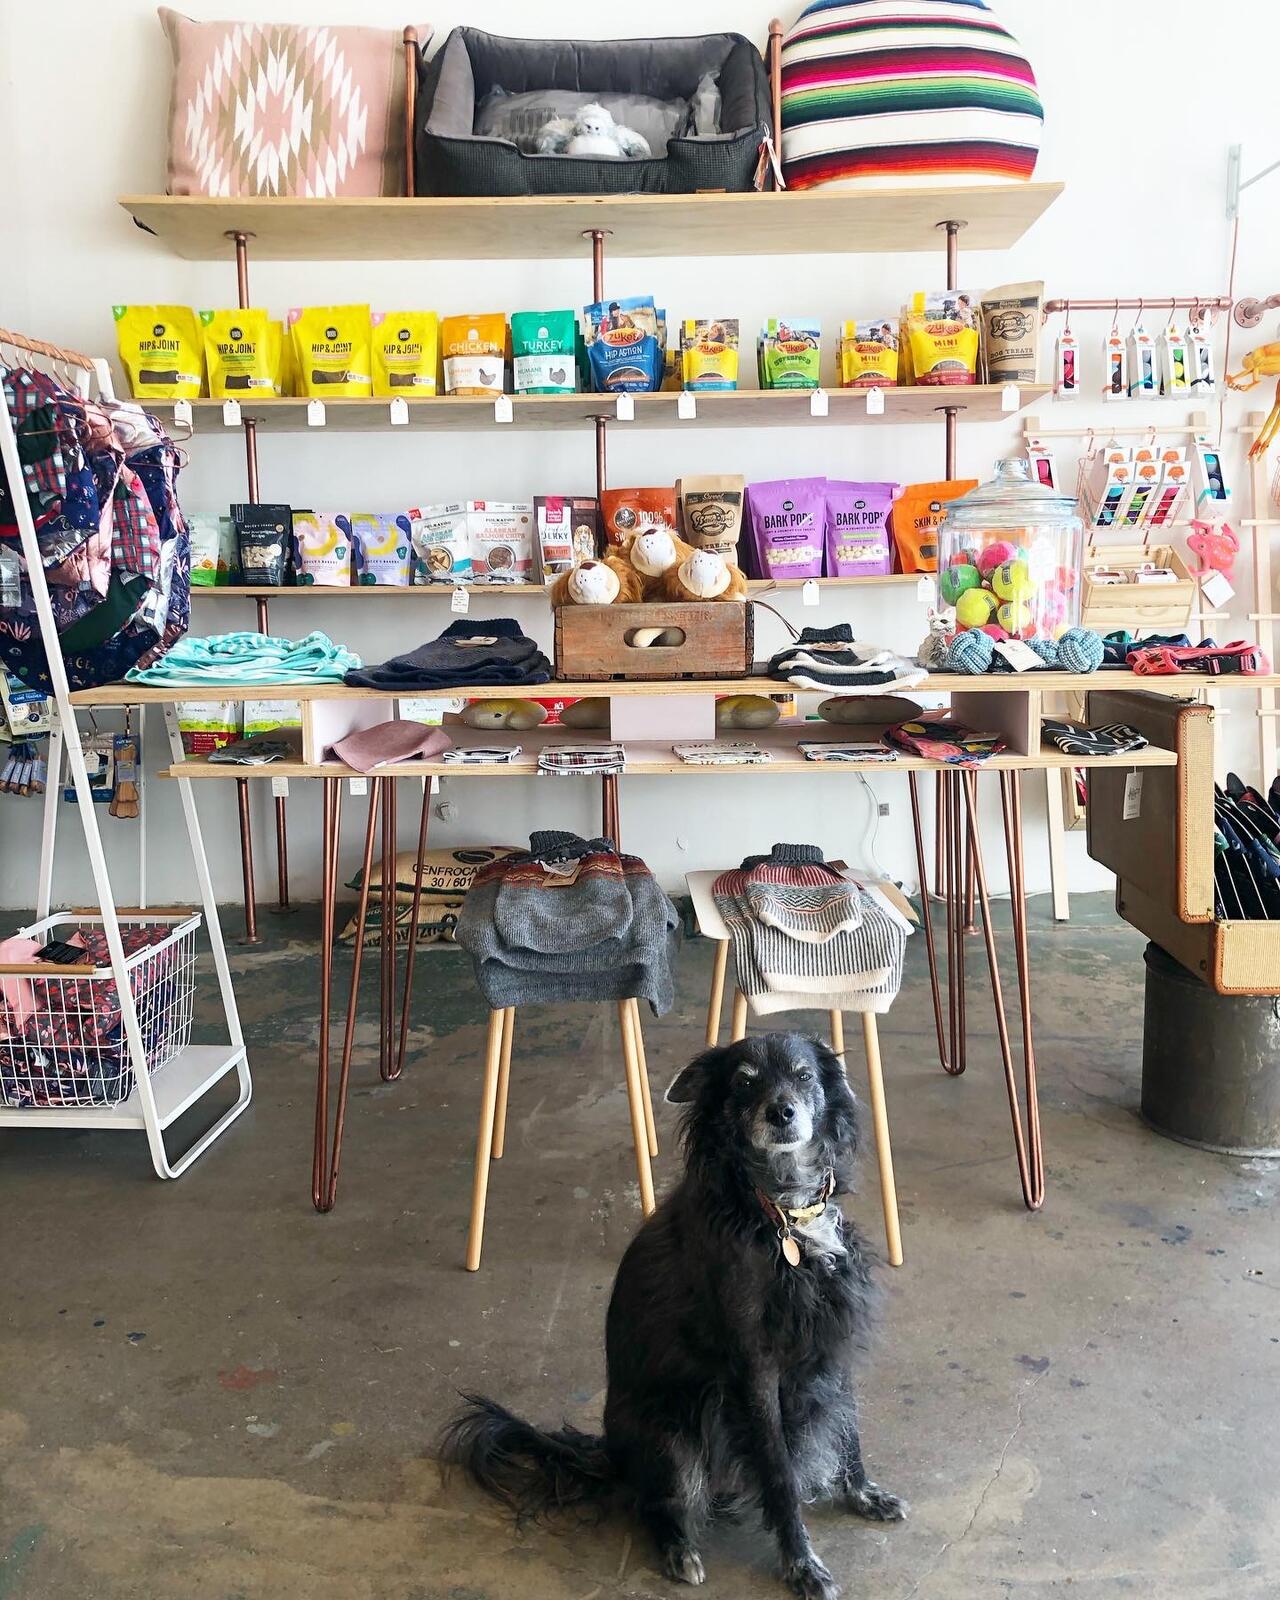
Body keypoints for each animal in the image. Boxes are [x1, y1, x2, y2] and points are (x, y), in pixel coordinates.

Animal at [440, 1032, 905, 1599]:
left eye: (803, 1076)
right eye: (744, 1082)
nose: (781, 1112)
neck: (777, 1212)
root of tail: (611, 1454)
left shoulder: (831, 1339)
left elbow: (848, 1430)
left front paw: (863, 1493)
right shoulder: (755, 1369)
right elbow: (779, 1476)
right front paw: (802, 1563)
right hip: (677, 1434)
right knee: (657, 1506)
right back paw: (679, 1551)